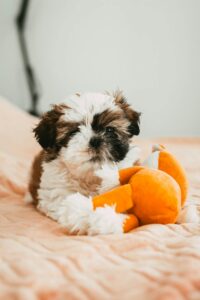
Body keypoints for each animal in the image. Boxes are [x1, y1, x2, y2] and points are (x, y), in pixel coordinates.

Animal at [26, 91, 141, 234]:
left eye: (109, 130)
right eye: (74, 132)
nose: (95, 140)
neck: (90, 177)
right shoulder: (58, 195)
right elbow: (72, 208)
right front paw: (102, 219)